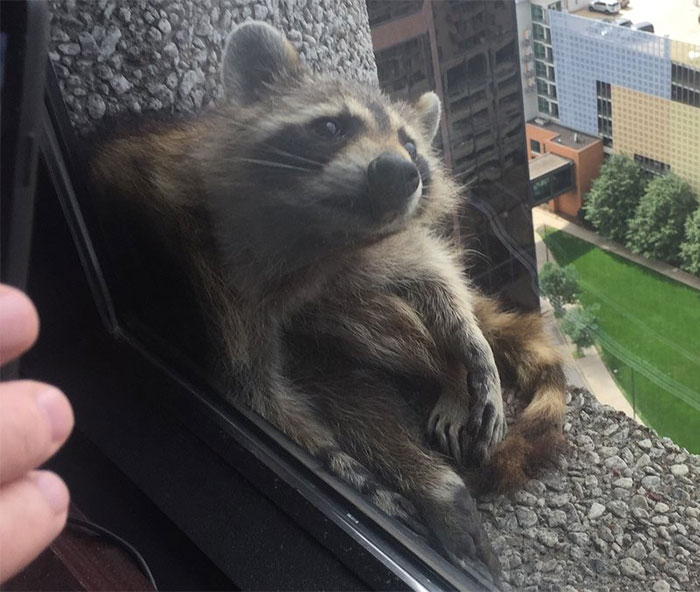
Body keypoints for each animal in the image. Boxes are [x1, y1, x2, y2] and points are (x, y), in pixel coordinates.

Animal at [91, 22, 566, 579]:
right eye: (332, 127)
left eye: (409, 144)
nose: (398, 172)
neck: (315, 237)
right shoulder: (220, 282)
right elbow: (260, 395)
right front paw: (356, 469)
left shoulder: (359, 246)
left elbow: (427, 267)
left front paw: (466, 345)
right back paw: (432, 475)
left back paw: (445, 378)